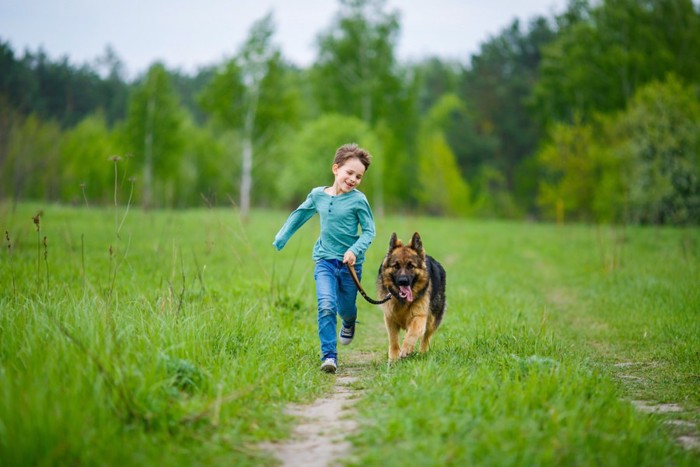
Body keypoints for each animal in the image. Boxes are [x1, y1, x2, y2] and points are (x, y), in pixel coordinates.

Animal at [380, 233, 446, 362]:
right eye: (396, 266)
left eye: (411, 266)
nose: (403, 281)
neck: (402, 301)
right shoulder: (390, 318)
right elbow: (393, 340)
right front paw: (393, 358)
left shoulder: (419, 316)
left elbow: (413, 334)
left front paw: (406, 349)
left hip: (432, 319)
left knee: (425, 337)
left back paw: (422, 353)